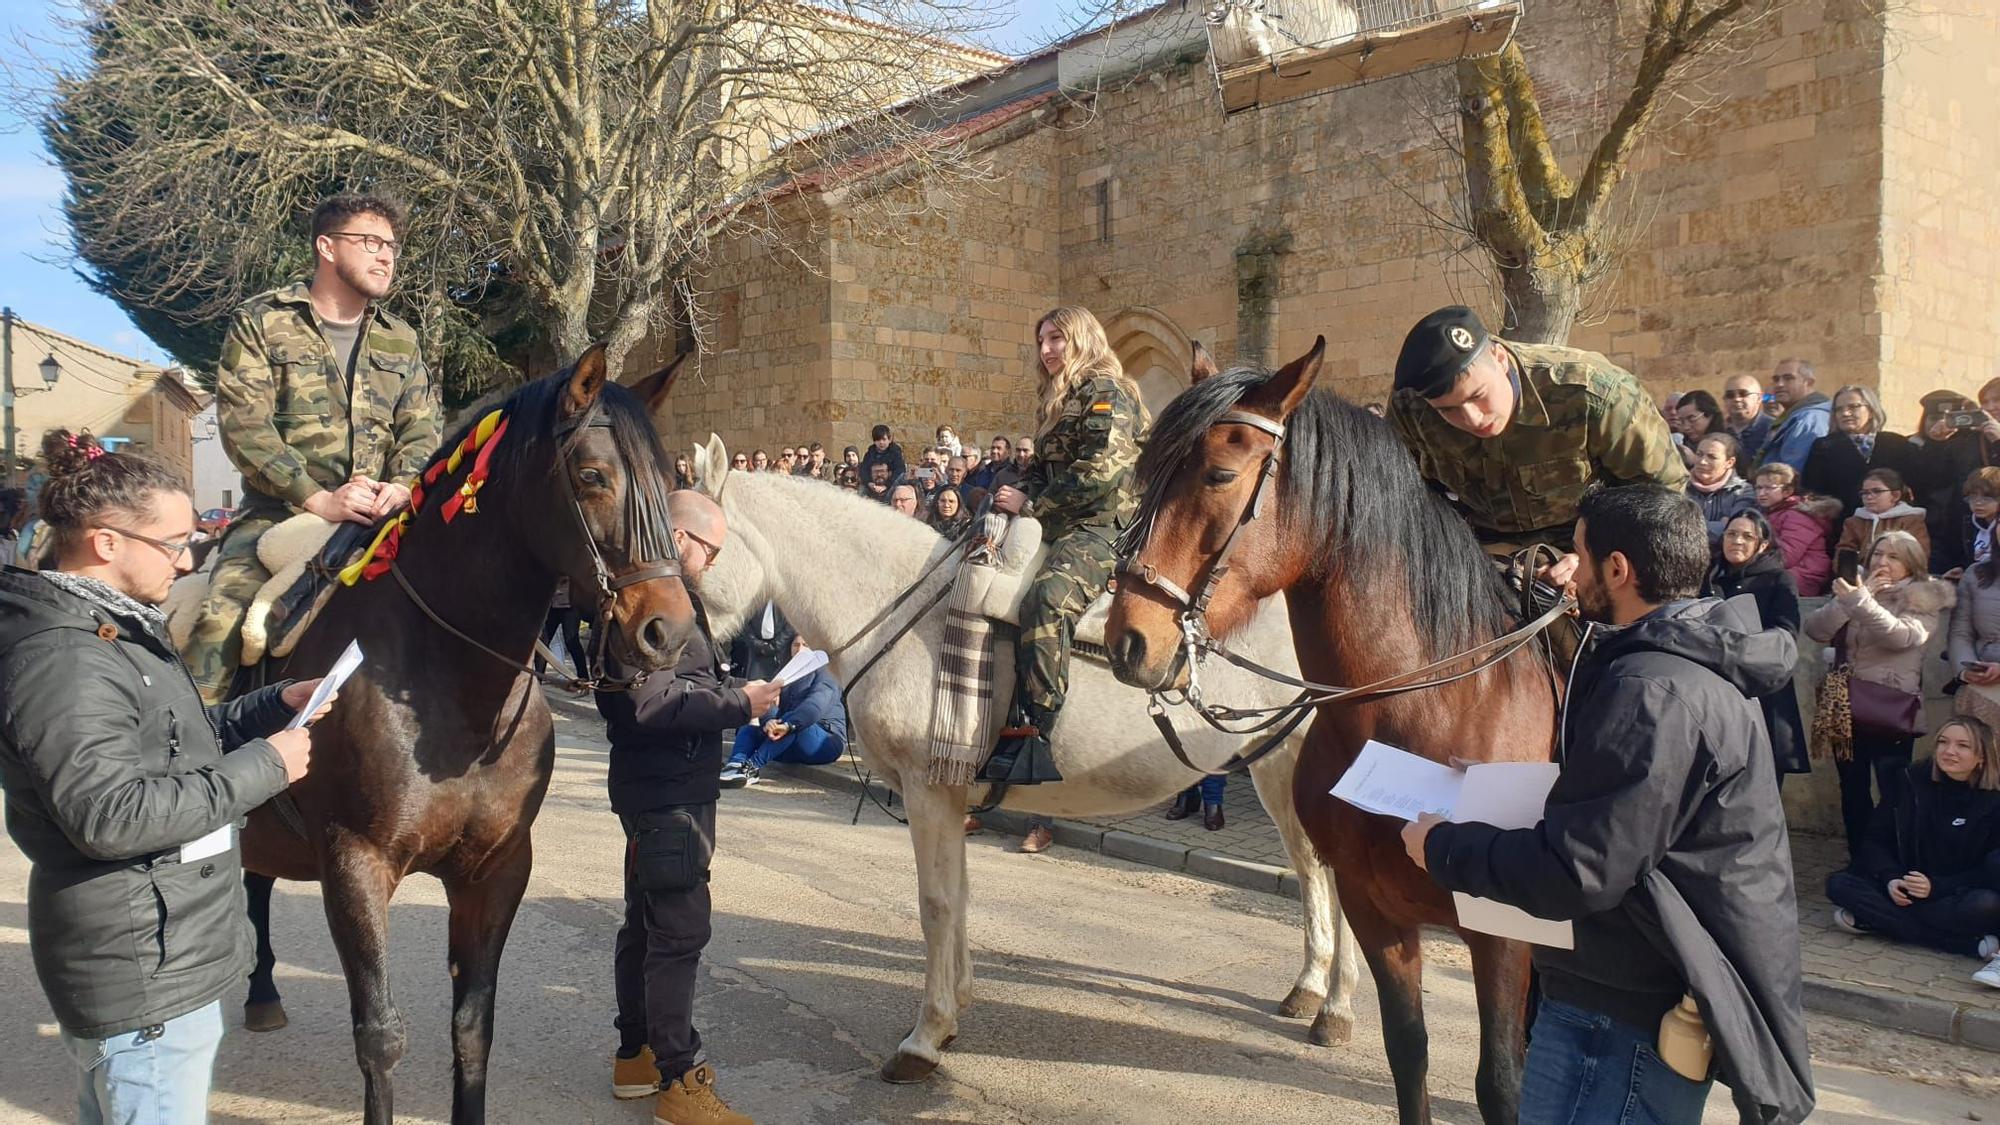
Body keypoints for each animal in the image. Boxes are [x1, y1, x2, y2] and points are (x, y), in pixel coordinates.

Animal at [240, 346, 704, 1112]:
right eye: (592, 476)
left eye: (669, 482)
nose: (667, 632)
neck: (453, 698)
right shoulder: (354, 863)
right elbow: (380, 1038)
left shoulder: (497, 868)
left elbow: (472, 1029)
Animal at [688, 438, 1360, 1080]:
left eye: (691, 550)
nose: (669, 648)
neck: (904, 615)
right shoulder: (950, 794)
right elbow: (958, 895)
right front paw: (955, 1008)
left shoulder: (929, 790)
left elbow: (936, 904)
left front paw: (925, 1039)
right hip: (1273, 761)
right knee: (1312, 869)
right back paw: (1309, 989)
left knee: (1332, 871)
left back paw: (1336, 1009)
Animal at [1104, 340, 1552, 1120]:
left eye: (1220, 474)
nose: (1128, 638)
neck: (1426, 713)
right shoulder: (1377, 909)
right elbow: (1409, 1053)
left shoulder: (1500, 934)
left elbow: (1500, 1080)